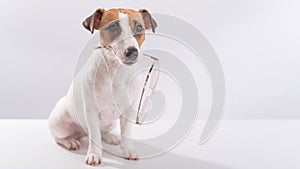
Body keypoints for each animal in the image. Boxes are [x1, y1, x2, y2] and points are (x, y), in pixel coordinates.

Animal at [47, 8, 157, 166]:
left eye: (139, 28)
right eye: (113, 27)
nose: (132, 51)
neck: (116, 71)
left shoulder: (128, 111)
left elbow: (126, 133)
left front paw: (128, 150)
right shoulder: (91, 111)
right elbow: (94, 136)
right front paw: (94, 154)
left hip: (110, 122)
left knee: (102, 131)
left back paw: (110, 136)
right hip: (59, 122)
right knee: (59, 137)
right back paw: (69, 142)